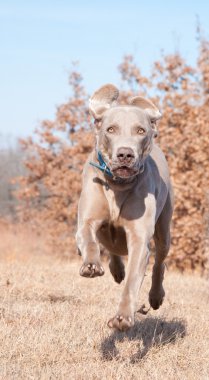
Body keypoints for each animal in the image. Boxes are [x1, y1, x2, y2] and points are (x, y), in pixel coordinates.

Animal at [76, 84, 173, 332]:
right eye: (111, 129)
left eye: (140, 131)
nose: (125, 154)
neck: (117, 185)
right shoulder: (87, 219)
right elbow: (89, 238)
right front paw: (92, 265)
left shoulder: (139, 238)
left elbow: (132, 281)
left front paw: (122, 318)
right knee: (110, 244)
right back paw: (115, 268)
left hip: (164, 227)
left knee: (160, 263)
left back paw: (155, 296)